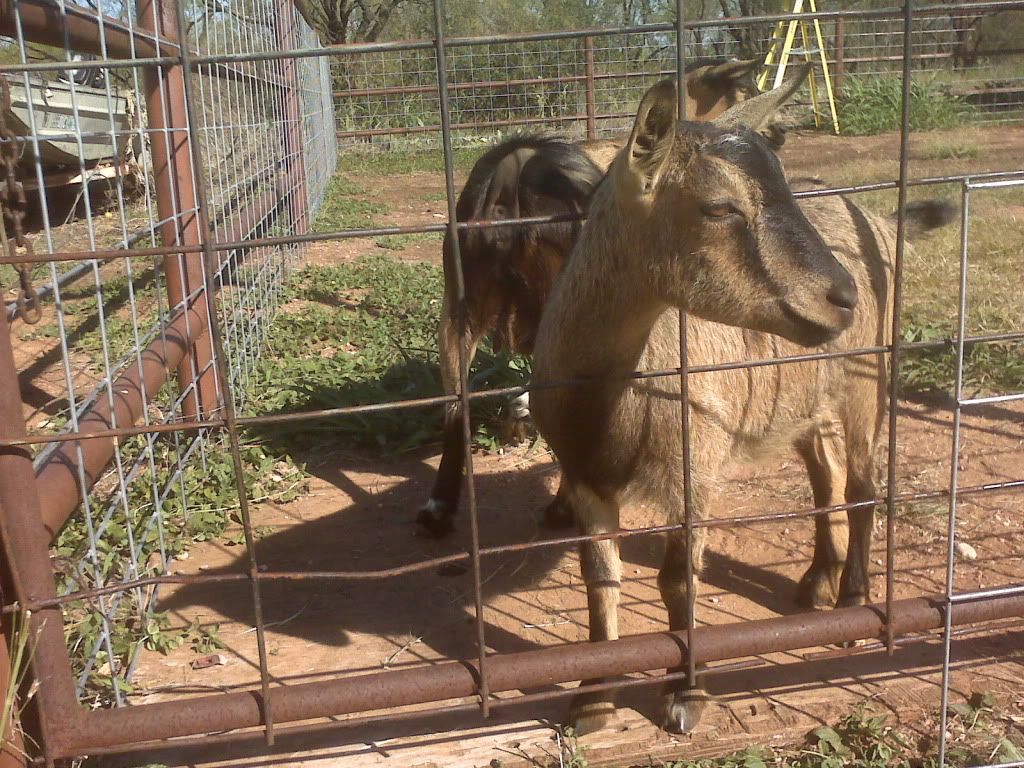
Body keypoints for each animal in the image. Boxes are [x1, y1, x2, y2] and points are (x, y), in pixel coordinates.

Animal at [419, 57, 782, 535]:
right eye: (744, 90)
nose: (779, 133)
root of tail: (511, 187)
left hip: (460, 306)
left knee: (455, 402)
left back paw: (440, 506)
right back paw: (564, 506)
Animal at [529, 79, 954, 735]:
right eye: (720, 206)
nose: (843, 296)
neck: (609, 394)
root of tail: (880, 220)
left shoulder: (695, 471)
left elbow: (678, 580)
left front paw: (687, 694)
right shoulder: (583, 475)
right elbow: (599, 580)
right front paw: (593, 699)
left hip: (868, 378)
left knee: (862, 484)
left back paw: (855, 602)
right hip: (805, 399)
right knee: (825, 479)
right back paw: (817, 584)